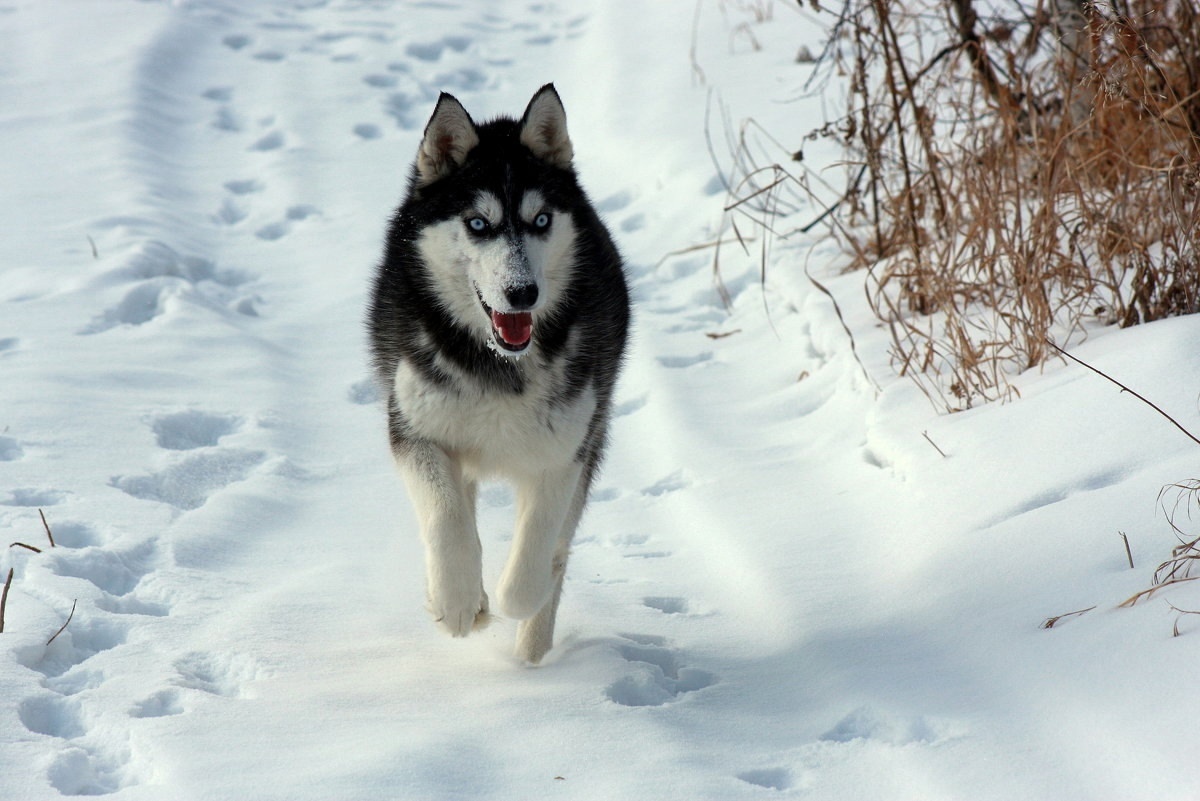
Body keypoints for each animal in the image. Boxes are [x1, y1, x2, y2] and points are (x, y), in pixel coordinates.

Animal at [364, 86, 628, 661]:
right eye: (478, 224)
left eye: (541, 221)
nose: (522, 293)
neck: (498, 361)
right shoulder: (414, 431)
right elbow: (445, 517)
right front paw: (458, 601)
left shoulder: (565, 450)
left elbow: (536, 551)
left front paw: (517, 595)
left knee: (560, 544)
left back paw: (532, 649)